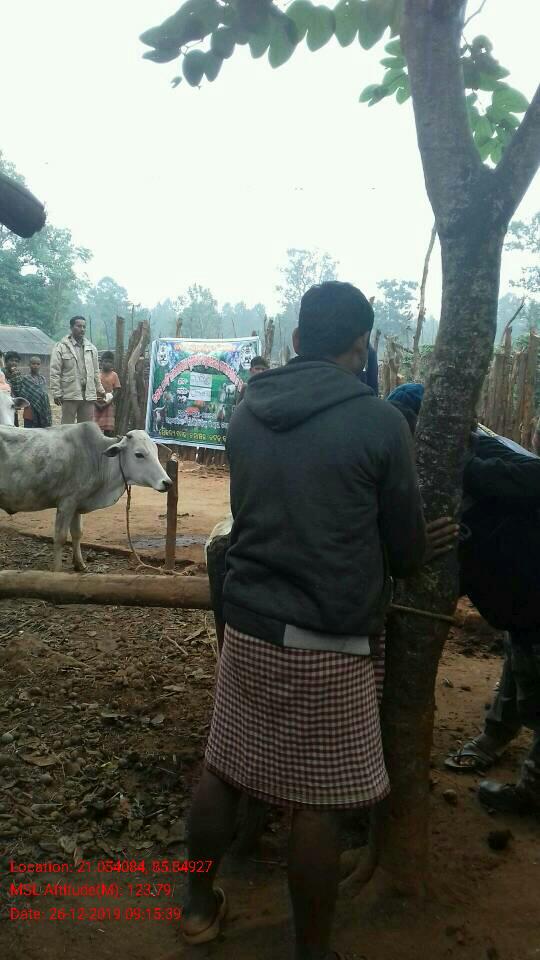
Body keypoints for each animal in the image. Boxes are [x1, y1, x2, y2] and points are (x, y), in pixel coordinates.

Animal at [0, 422, 172, 572]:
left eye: (156, 452)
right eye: (139, 454)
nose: (167, 482)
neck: (96, 457)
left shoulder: (77, 505)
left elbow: (77, 534)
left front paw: (80, 564)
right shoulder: (67, 503)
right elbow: (60, 537)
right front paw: (56, 570)